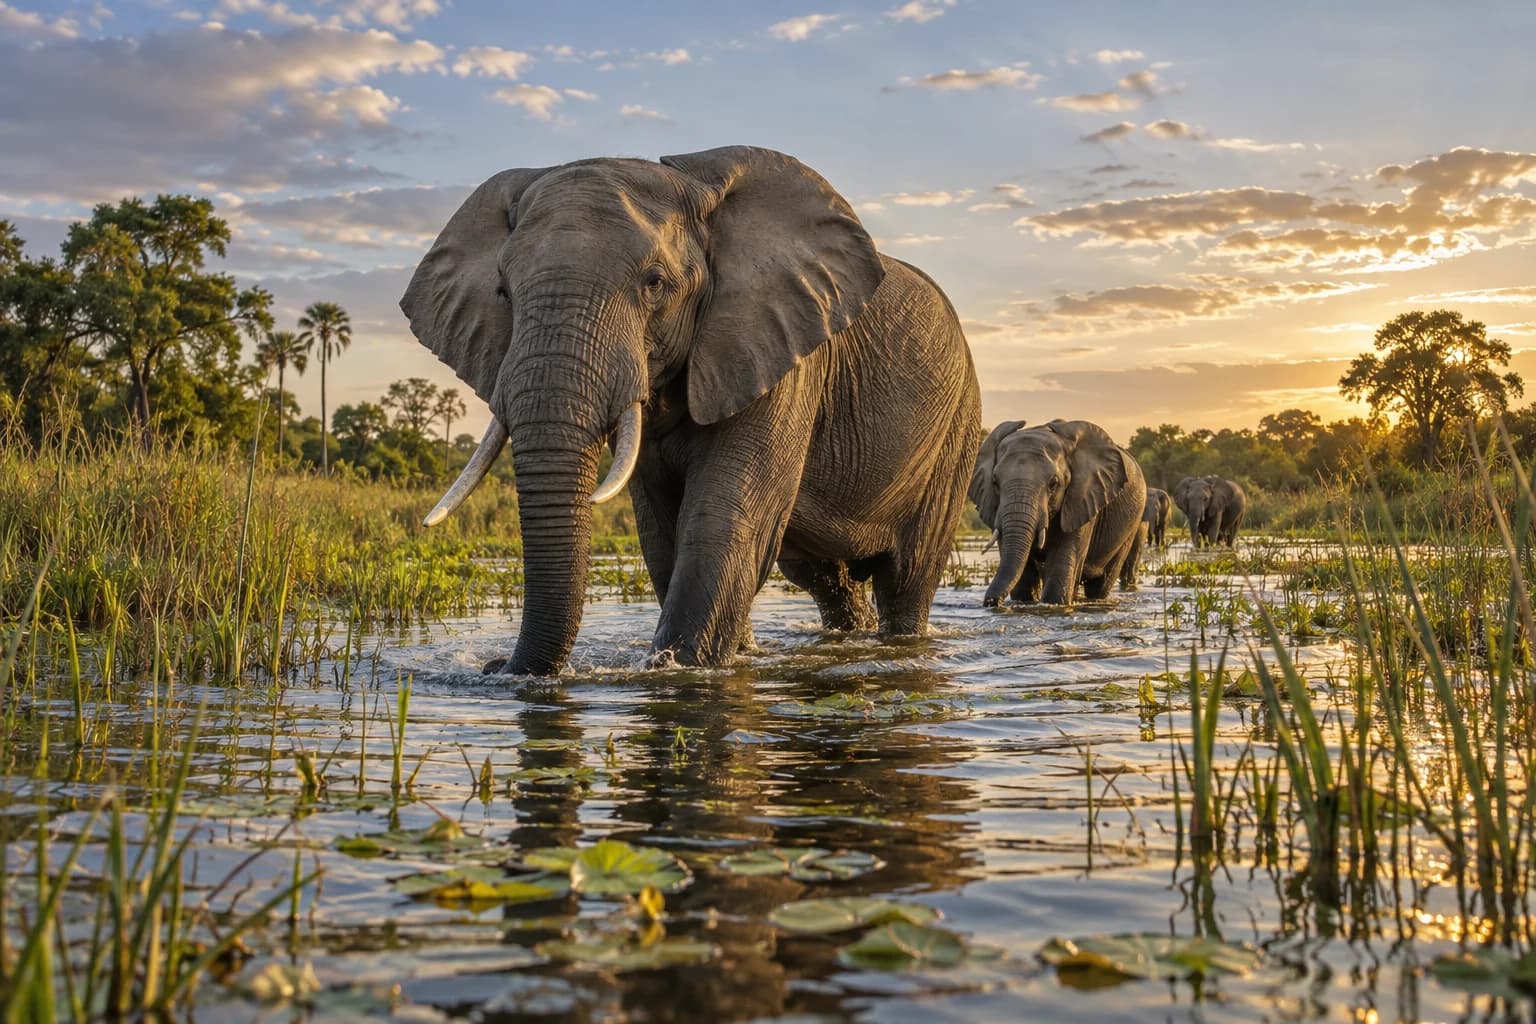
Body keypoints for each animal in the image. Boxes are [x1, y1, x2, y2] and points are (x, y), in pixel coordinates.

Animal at [402, 146, 982, 675]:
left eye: (654, 283)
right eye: (503, 291)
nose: (495, 667)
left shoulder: (782, 356)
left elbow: (720, 523)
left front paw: (681, 667)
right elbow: (662, 536)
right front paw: (733, 657)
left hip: (957, 429)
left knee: (907, 578)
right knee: (823, 579)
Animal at [968, 419, 1146, 607]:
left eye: (1053, 484)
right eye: (995, 482)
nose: (991, 602)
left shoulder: (1081, 499)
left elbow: (1059, 571)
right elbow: (1024, 582)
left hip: (1131, 525)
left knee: (1101, 584)